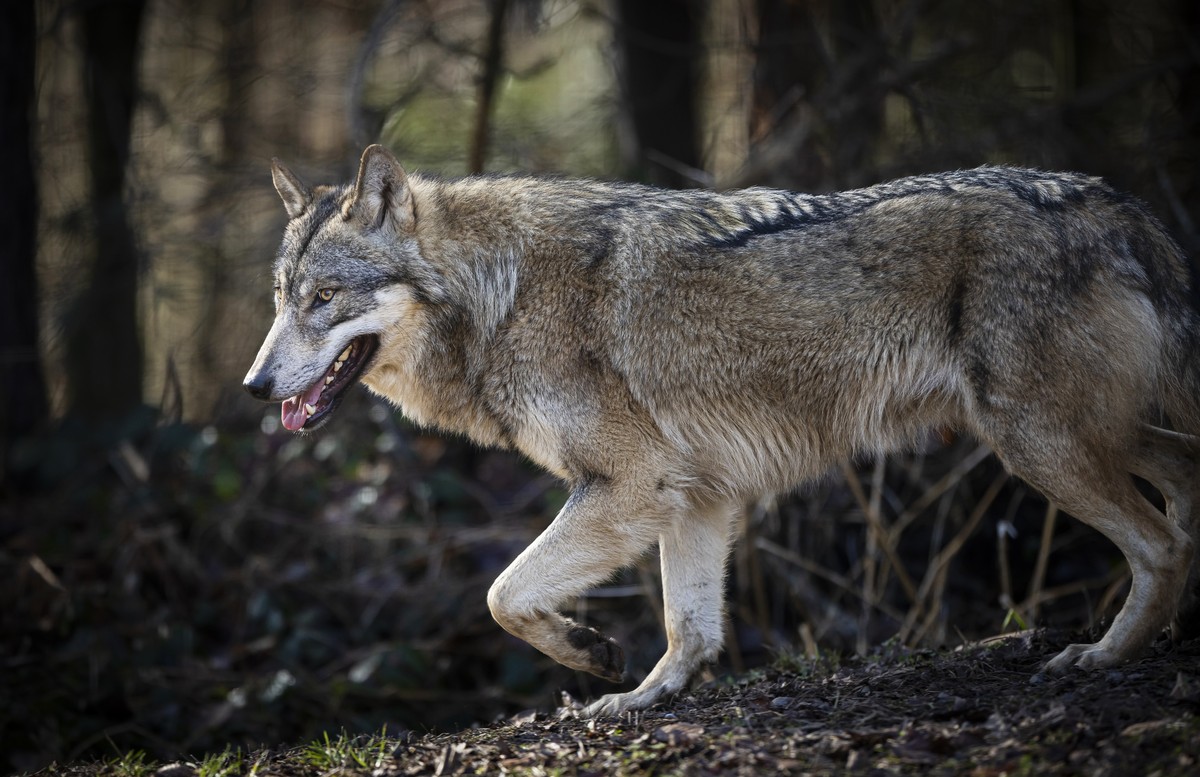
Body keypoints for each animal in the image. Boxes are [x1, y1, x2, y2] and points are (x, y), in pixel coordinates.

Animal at [244, 144, 1200, 716]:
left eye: (325, 299)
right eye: (281, 299)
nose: (254, 386)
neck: (498, 293)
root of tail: (1111, 201)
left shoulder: (630, 487)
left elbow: (503, 594)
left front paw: (590, 651)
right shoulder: (697, 495)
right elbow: (689, 626)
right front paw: (641, 698)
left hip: (1041, 443)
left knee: (1158, 543)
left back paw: (1103, 656)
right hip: (1093, 435)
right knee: (1184, 498)